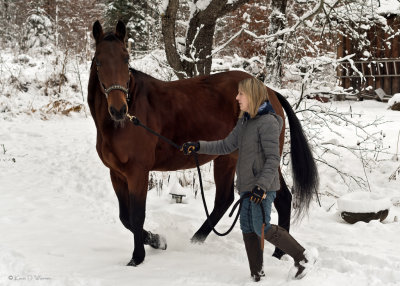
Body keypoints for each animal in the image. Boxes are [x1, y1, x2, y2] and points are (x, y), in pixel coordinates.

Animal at [88, 20, 318, 266]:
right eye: (99, 61)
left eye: (126, 59)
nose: (119, 109)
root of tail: (269, 92)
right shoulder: (117, 174)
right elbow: (125, 217)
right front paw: (156, 240)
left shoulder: (137, 172)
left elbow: (136, 216)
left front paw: (138, 256)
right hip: (228, 158)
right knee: (224, 200)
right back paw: (197, 240)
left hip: (259, 158)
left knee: (281, 199)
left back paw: (277, 254)